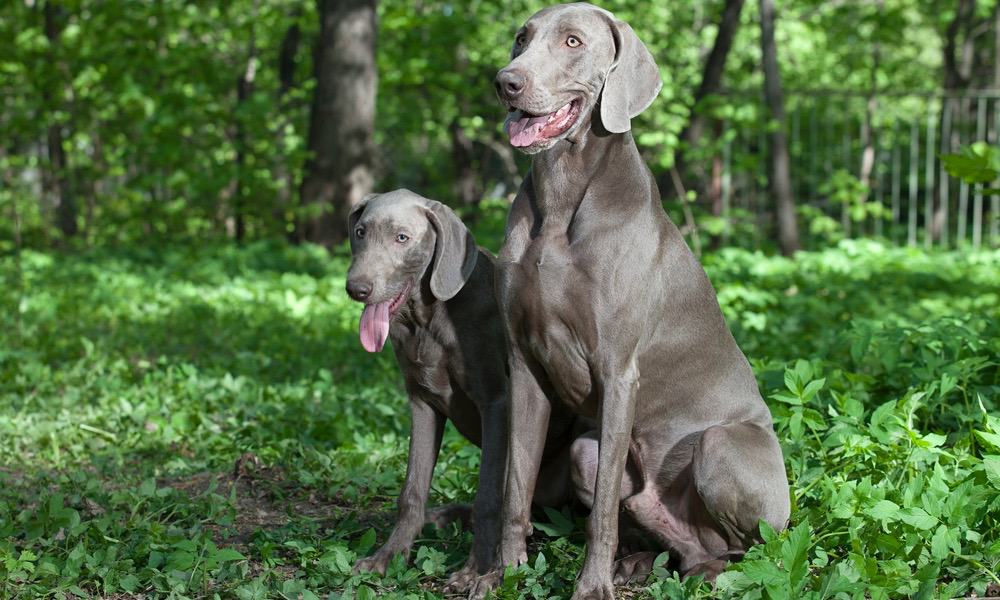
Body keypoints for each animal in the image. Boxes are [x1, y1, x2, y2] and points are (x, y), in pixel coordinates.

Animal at [344, 191, 584, 592]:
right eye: (360, 232)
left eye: (402, 238)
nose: (356, 289)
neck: (428, 320)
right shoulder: (421, 404)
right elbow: (412, 491)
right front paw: (388, 557)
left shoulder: (497, 404)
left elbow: (489, 496)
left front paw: (476, 570)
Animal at [476, 4, 788, 600]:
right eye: (521, 38)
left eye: (573, 41)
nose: (506, 82)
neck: (560, 199)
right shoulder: (524, 365)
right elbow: (515, 485)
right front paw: (500, 575)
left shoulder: (618, 371)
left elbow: (599, 514)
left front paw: (591, 585)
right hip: (590, 453)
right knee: (673, 538)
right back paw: (642, 563)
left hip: (721, 448)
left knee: (756, 550)